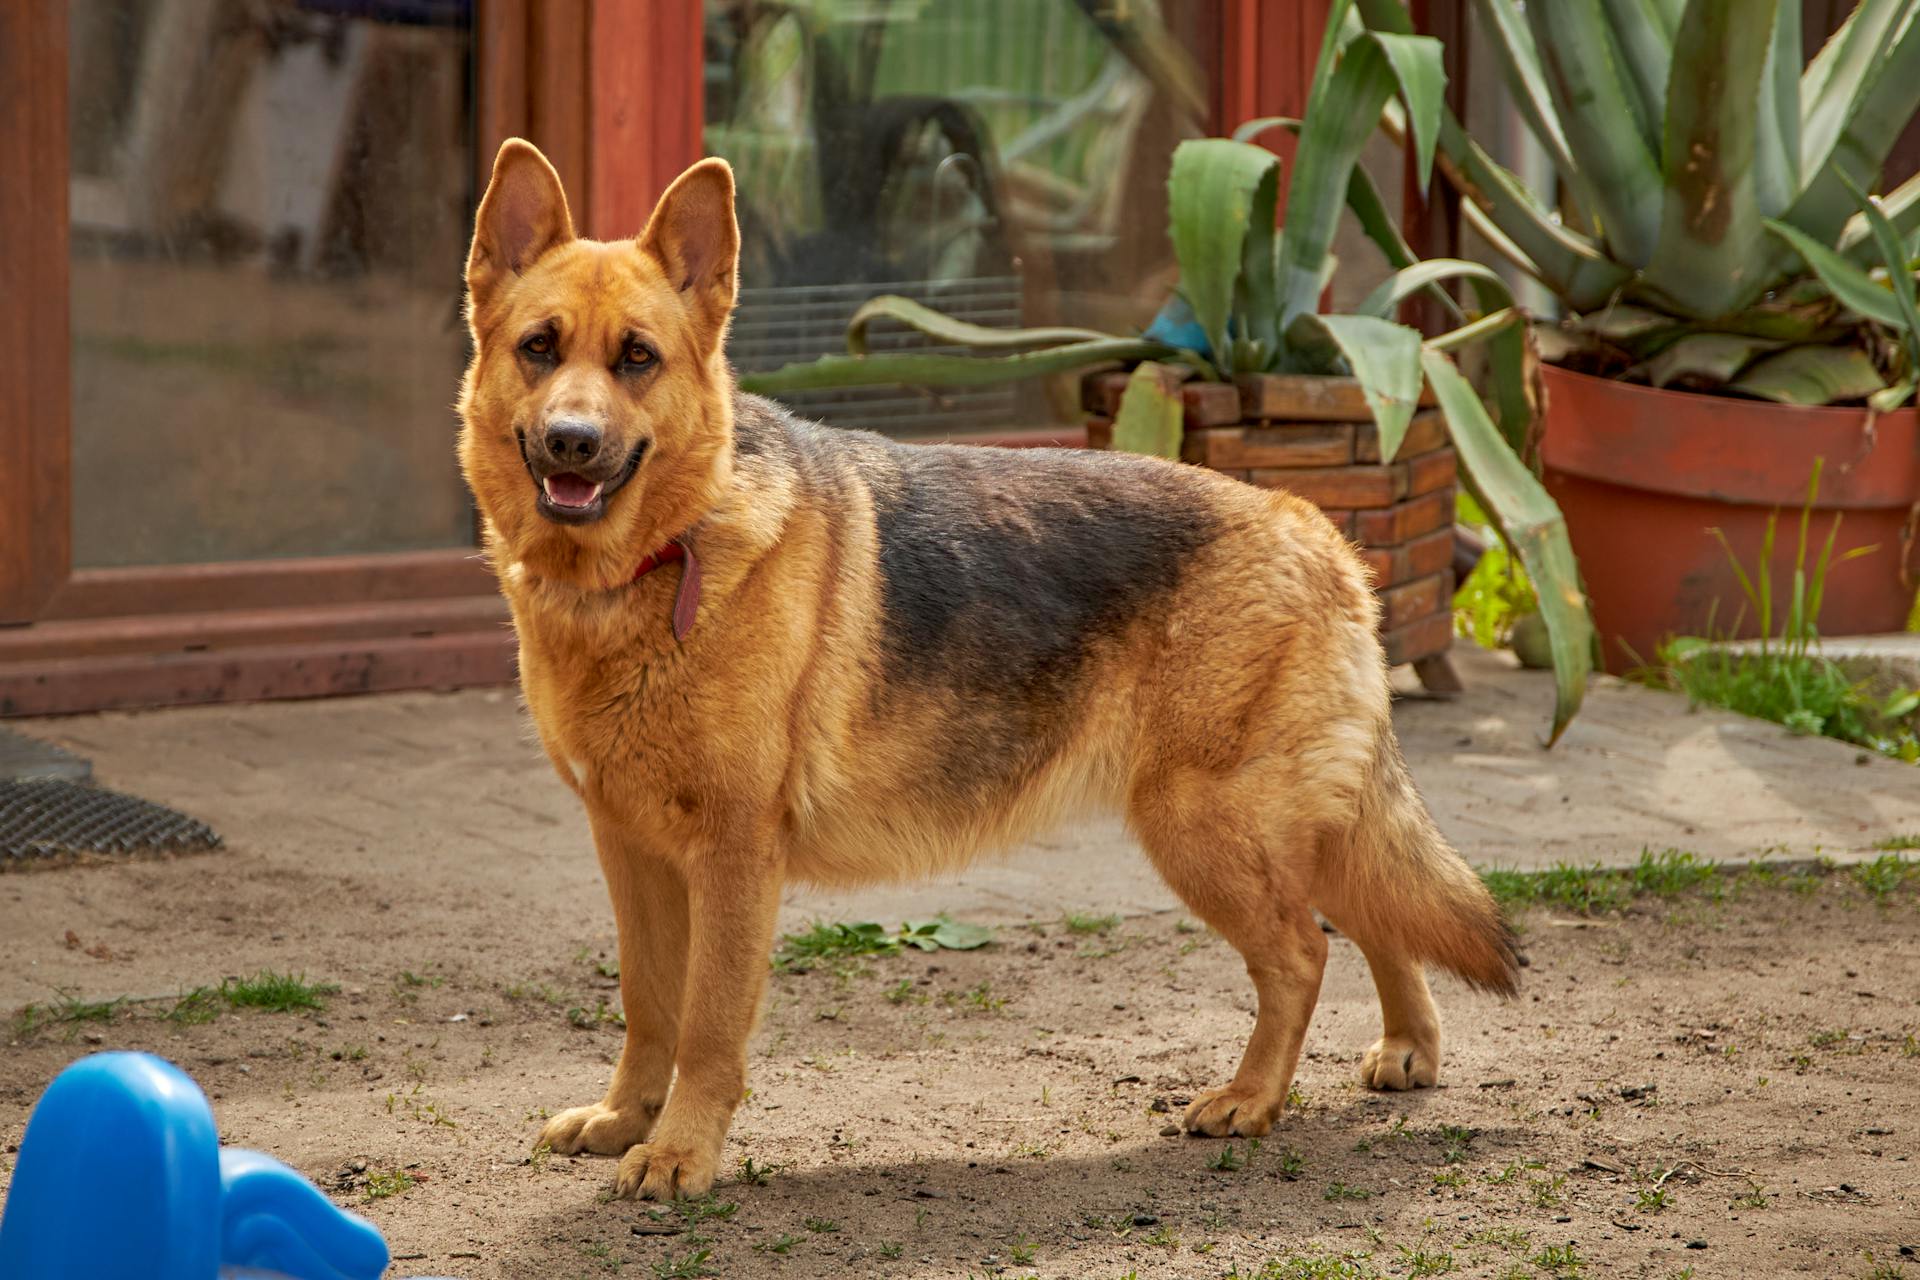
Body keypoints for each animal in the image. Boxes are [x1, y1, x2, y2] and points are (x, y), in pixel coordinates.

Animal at [460, 144, 1512, 1205]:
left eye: (638, 358)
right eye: (540, 348)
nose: (572, 442)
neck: (662, 557)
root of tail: (1318, 532)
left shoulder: (730, 858)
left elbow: (707, 1026)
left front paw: (679, 1152)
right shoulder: (630, 849)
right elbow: (649, 1007)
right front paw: (624, 1119)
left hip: (1206, 827)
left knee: (1302, 952)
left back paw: (1251, 1100)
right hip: (1285, 824)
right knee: (1373, 919)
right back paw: (1409, 1047)